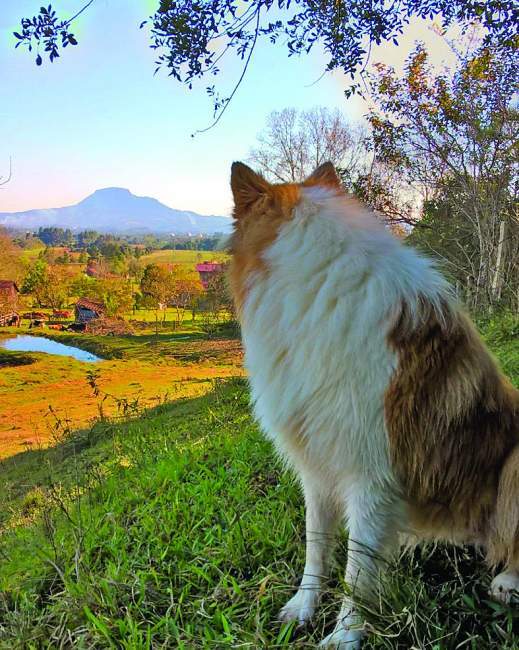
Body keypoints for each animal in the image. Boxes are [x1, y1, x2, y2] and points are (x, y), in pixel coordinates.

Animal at [229, 161, 519, 644]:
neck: (323, 280)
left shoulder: (372, 476)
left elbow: (358, 570)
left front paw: (345, 636)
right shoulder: (317, 467)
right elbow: (316, 546)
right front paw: (303, 607)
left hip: (513, 464)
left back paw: (508, 581)